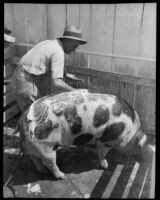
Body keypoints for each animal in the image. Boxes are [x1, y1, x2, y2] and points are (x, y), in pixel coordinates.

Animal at [17, 90, 148, 179]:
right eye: (137, 146)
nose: (139, 159)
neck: (129, 131)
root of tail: (23, 120)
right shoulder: (106, 140)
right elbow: (102, 153)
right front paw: (105, 166)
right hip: (45, 145)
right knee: (49, 162)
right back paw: (62, 176)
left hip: (35, 146)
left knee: (35, 159)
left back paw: (42, 171)